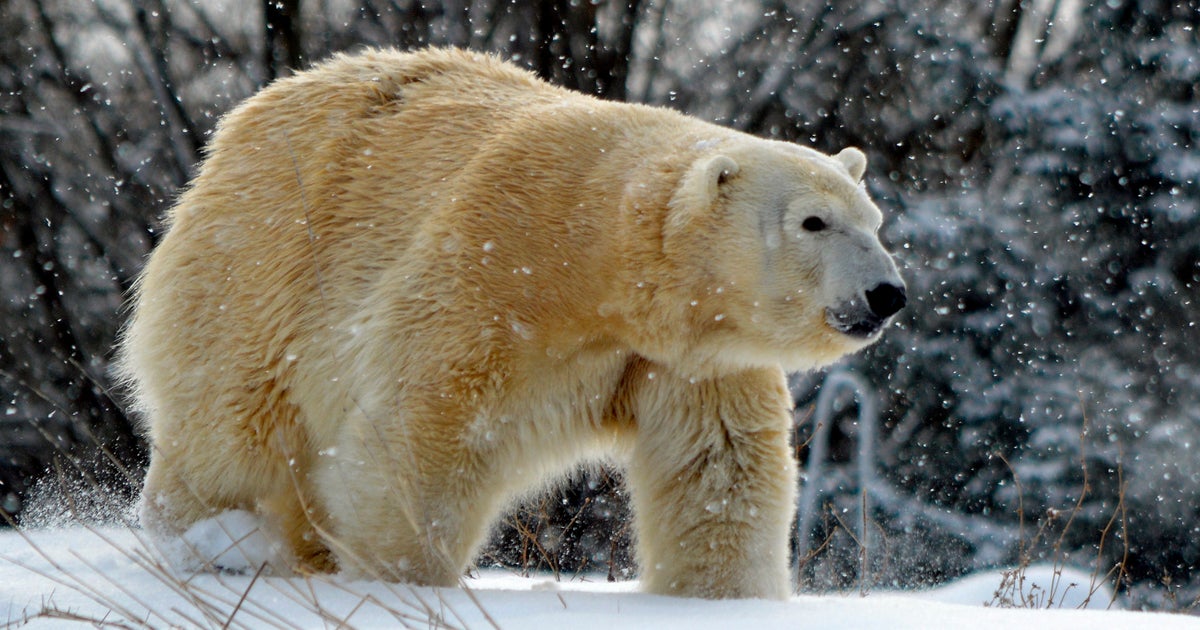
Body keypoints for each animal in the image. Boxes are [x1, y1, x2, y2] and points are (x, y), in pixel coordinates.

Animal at [117, 47, 906, 600]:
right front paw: (397, 580)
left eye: (873, 220)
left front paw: (725, 598)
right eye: (813, 221)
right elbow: (421, 432)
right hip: (261, 265)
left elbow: (719, 468)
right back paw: (215, 541)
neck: (596, 259)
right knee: (231, 424)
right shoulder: (491, 271)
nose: (887, 294)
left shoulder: (691, 357)